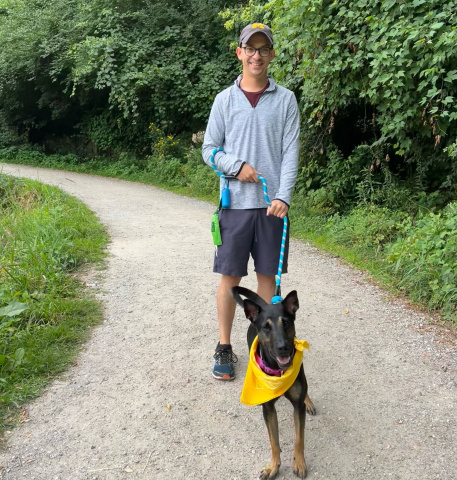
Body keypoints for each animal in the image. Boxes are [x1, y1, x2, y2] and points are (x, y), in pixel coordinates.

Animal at [232, 286, 314, 478]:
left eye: (286, 322)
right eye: (266, 327)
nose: (283, 347)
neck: (279, 372)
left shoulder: (297, 407)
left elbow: (299, 439)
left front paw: (299, 463)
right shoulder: (268, 409)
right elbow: (274, 442)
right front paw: (273, 467)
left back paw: (308, 401)